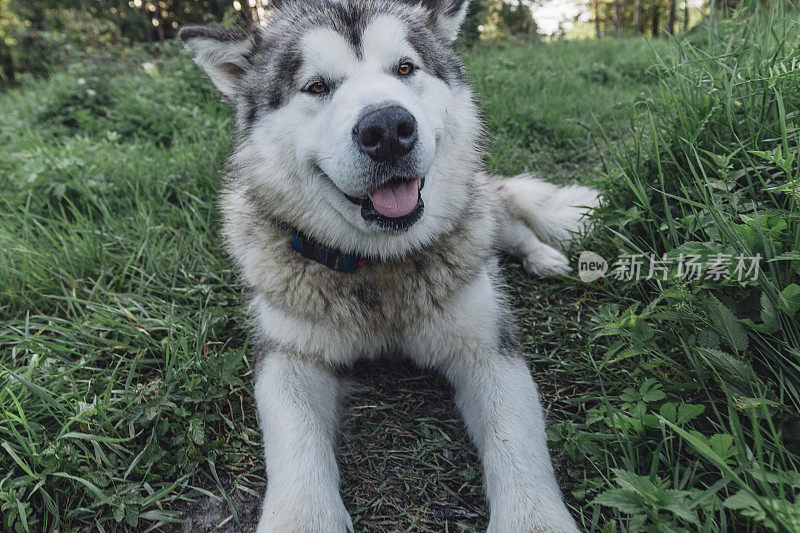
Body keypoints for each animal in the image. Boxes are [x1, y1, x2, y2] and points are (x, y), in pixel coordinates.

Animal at [180, 1, 592, 528]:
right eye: (316, 86)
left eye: (405, 68)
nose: (388, 129)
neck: (379, 265)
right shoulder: (289, 355)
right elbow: (295, 442)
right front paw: (302, 518)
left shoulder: (487, 347)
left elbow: (516, 440)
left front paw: (533, 520)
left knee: (509, 222)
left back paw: (543, 256)